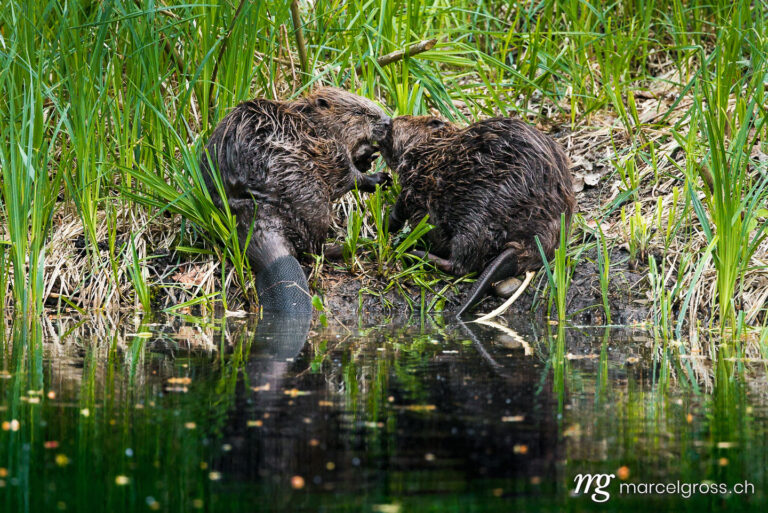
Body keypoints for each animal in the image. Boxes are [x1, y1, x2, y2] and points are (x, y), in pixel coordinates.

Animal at [201, 87, 392, 310]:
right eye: (359, 112)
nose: (388, 121)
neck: (313, 125)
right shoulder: (330, 149)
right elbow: (346, 175)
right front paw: (379, 177)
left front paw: (368, 155)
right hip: (312, 196)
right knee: (313, 249)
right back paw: (349, 245)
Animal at [380, 115, 572, 316]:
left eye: (401, 120)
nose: (387, 122)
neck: (434, 148)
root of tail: (529, 246)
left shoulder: (417, 177)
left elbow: (401, 206)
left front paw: (387, 225)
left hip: (476, 214)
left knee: (461, 265)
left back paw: (413, 252)